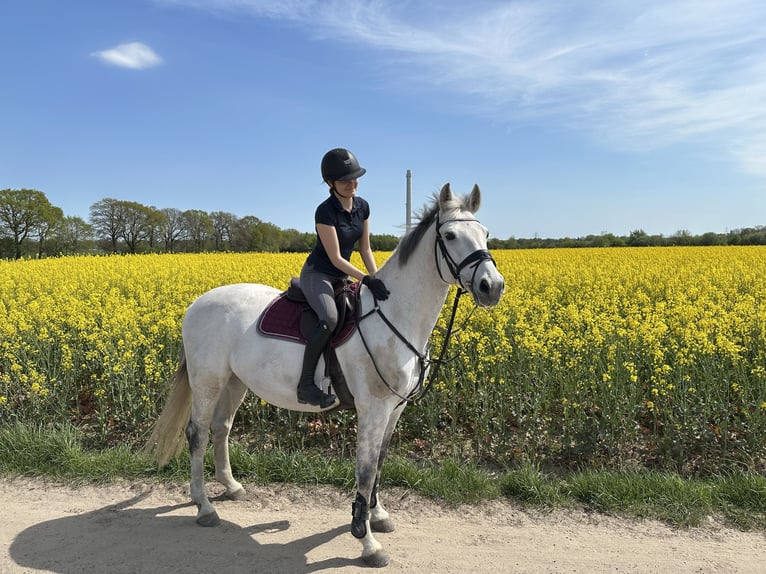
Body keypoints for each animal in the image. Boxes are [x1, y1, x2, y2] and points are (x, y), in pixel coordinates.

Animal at [144, 183, 505, 567]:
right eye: (450, 235)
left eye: (485, 234)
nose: (492, 286)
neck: (393, 315)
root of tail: (197, 303)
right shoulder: (373, 409)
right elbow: (365, 469)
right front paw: (367, 540)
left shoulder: (395, 409)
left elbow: (380, 461)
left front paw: (377, 515)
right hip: (207, 381)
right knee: (197, 434)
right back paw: (204, 506)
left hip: (234, 381)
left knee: (221, 428)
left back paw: (231, 487)